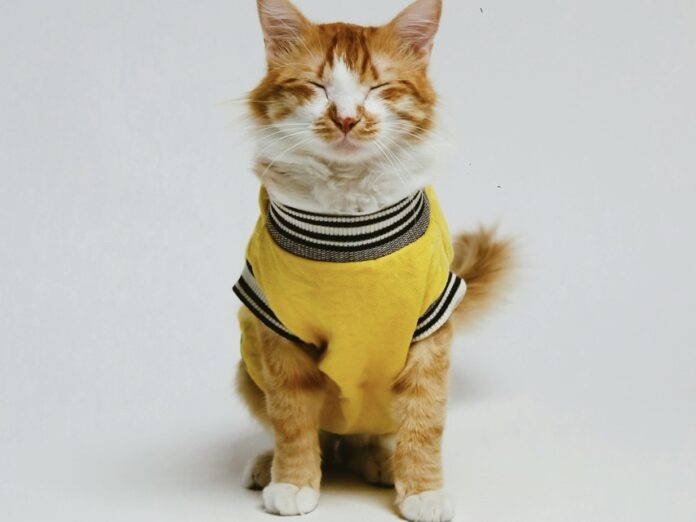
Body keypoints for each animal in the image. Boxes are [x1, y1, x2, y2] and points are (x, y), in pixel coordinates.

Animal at [233, 1, 511, 521]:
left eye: (378, 88)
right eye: (317, 86)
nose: (346, 118)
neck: (347, 218)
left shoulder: (428, 327)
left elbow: (423, 420)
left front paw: (422, 490)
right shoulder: (277, 330)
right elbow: (292, 420)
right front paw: (293, 481)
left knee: (365, 437)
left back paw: (381, 462)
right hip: (248, 370)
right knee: (324, 437)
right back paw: (269, 465)